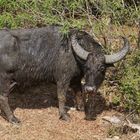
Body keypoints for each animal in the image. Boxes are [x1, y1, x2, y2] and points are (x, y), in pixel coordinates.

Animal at [0, 26, 130, 123]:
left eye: (101, 68)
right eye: (87, 67)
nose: (90, 89)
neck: (74, 55)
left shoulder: (76, 79)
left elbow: (79, 92)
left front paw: (81, 107)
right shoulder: (63, 79)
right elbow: (62, 96)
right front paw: (64, 115)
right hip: (6, 78)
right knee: (3, 97)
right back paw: (13, 118)